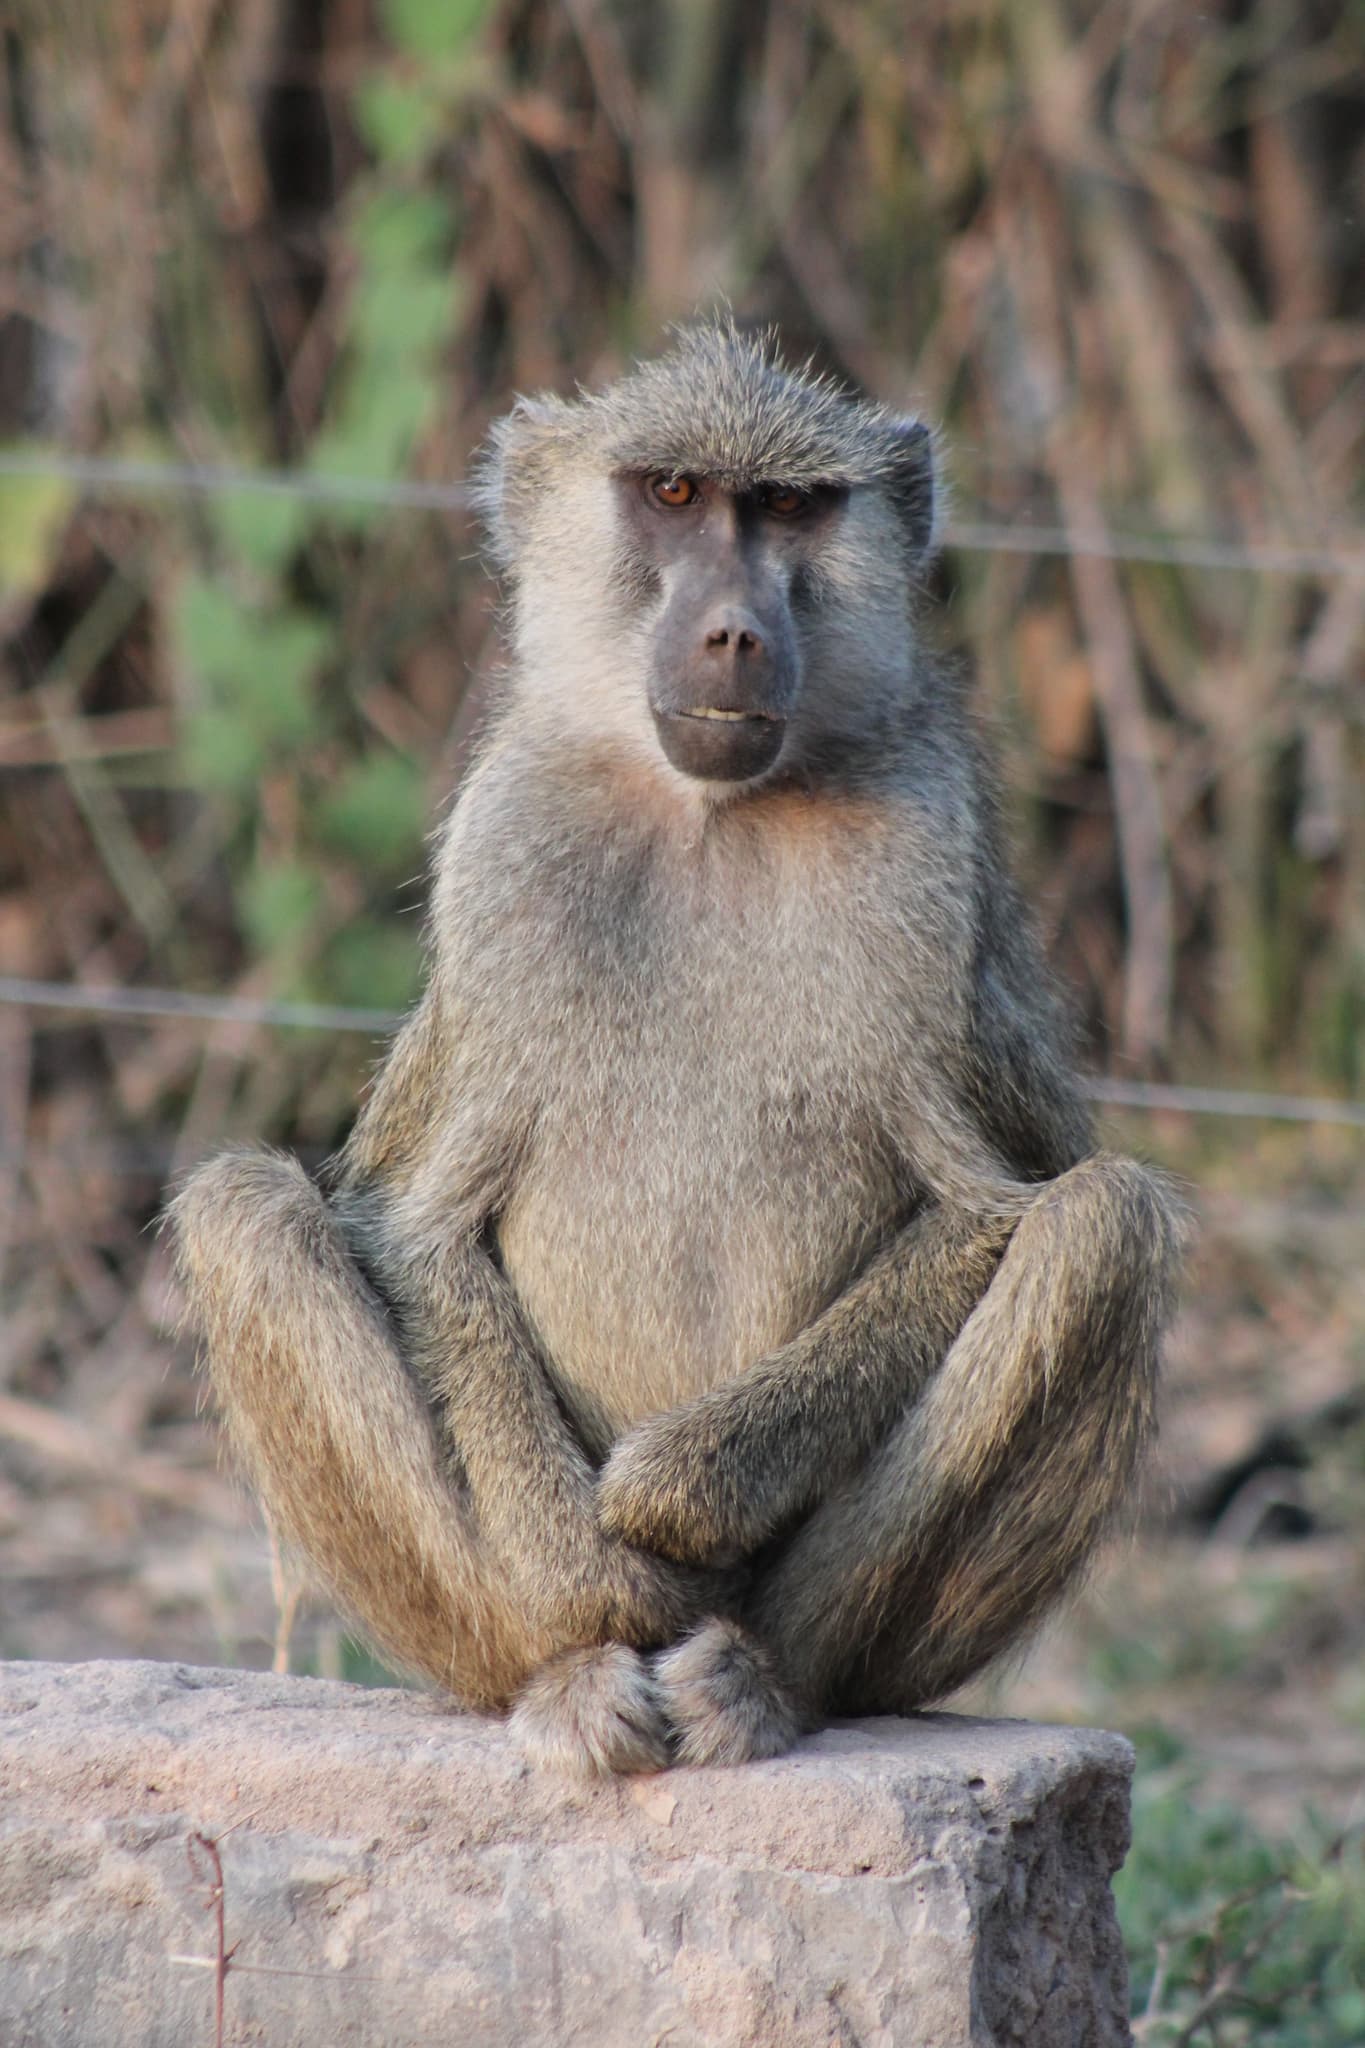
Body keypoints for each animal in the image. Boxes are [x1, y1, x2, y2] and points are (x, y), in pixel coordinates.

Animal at [170, 319, 1185, 1777]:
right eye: (671, 494)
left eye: (791, 509)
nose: (733, 631)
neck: (710, 817)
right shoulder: (510, 847)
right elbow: (421, 1227)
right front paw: (593, 1568)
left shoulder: (923, 862)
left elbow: (991, 1210)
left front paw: (671, 1489)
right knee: (244, 1207)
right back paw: (572, 1666)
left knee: (1105, 1225)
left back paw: (764, 1676)